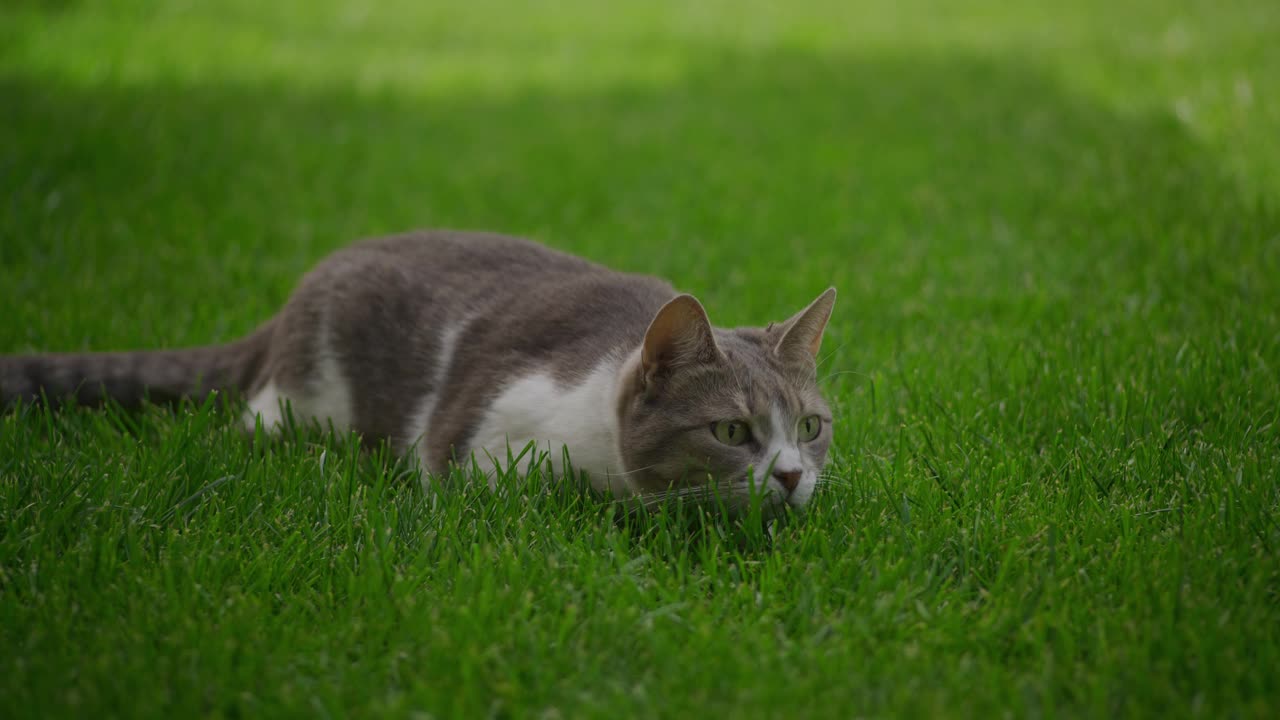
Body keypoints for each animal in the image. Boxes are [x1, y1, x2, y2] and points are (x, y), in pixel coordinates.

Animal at [0, 228, 839, 509]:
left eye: (810, 427)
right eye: (729, 431)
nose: (791, 475)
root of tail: (294, 298)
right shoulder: (484, 437)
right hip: (301, 397)